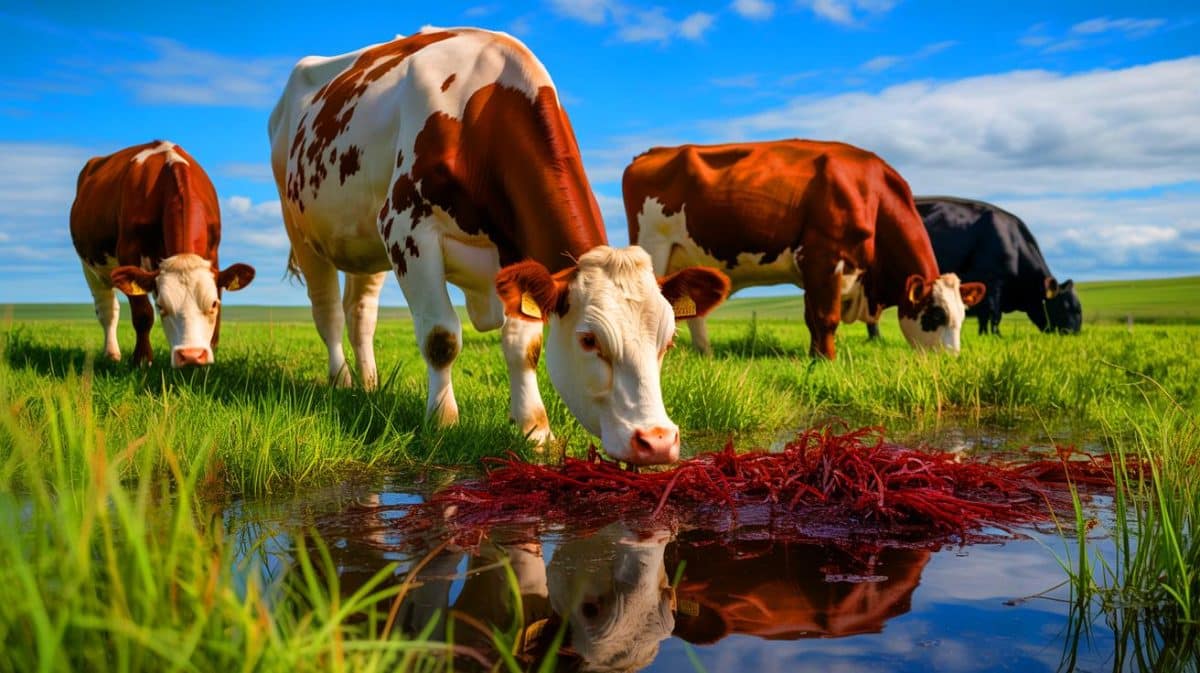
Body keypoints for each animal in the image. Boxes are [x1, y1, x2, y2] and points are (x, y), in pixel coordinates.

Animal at [69, 140, 256, 368]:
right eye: (161, 306)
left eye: (213, 304)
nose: (191, 355)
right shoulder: (128, 252)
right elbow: (143, 313)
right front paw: (142, 359)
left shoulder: (213, 253)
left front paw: (212, 350)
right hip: (90, 267)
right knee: (107, 310)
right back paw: (112, 354)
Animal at [268, 28, 728, 465]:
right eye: (589, 340)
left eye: (668, 342)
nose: (657, 441)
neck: (479, 111)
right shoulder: (406, 229)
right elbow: (441, 337)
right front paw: (443, 421)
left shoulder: (516, 252)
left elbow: (525, 347)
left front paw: (535, 429)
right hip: (301, 230)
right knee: (328, 313)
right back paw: (340, 380)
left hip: (365, 243)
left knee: (360, 313)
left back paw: (368, 384)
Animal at [623, 140, 985, 360]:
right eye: (936, 314)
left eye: (962, 315)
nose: (951, 359)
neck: (872, 195)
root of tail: (652, 153)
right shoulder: (825, 258)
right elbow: (826, 317)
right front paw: (827, 360)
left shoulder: (813, 269)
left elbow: (811, 317)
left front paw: (814, 356)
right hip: (654, 247)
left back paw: (706, 355)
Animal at [864, 197, 1081, 338]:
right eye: (1067, 306)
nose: (1075, 333)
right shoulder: (993, 281)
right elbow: (994, 314)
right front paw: (996, 336)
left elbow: (985, 316)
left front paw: (983, 334)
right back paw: (876, 339)